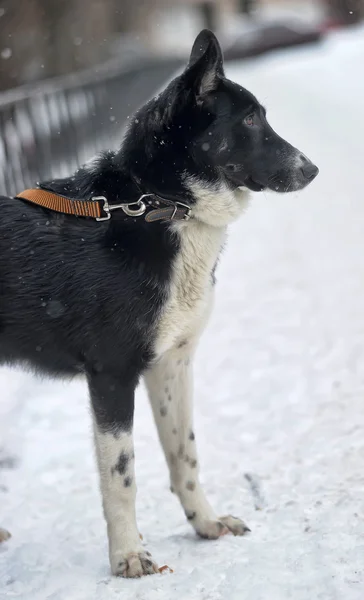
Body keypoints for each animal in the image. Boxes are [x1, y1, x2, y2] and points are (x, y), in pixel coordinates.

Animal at [0, 29, 318, 576]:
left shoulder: (172, 364)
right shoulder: (112, 374)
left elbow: (184, 455)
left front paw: (205, 524)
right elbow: (122, 475)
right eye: (250, 120)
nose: (313, 170)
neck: (158, 205)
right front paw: (128, 556)